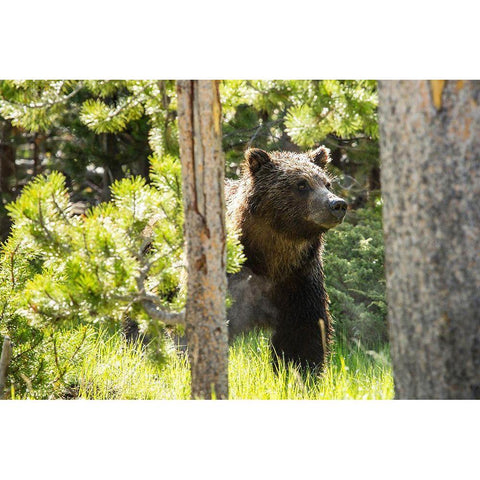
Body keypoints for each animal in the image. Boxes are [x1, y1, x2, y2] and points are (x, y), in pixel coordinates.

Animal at [227, 146, 346, 372]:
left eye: (327, 183)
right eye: (302, 184)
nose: (337, 204)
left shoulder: (299, 279)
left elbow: (303, 334)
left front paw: (299, 371)